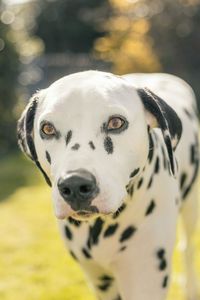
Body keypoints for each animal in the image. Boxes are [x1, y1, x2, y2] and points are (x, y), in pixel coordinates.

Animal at [17, 71, 198, 300]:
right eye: (47, 128)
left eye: (116, 123)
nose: (75, 185)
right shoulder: (100, 281)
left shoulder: (146, 279)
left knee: (187, 247)